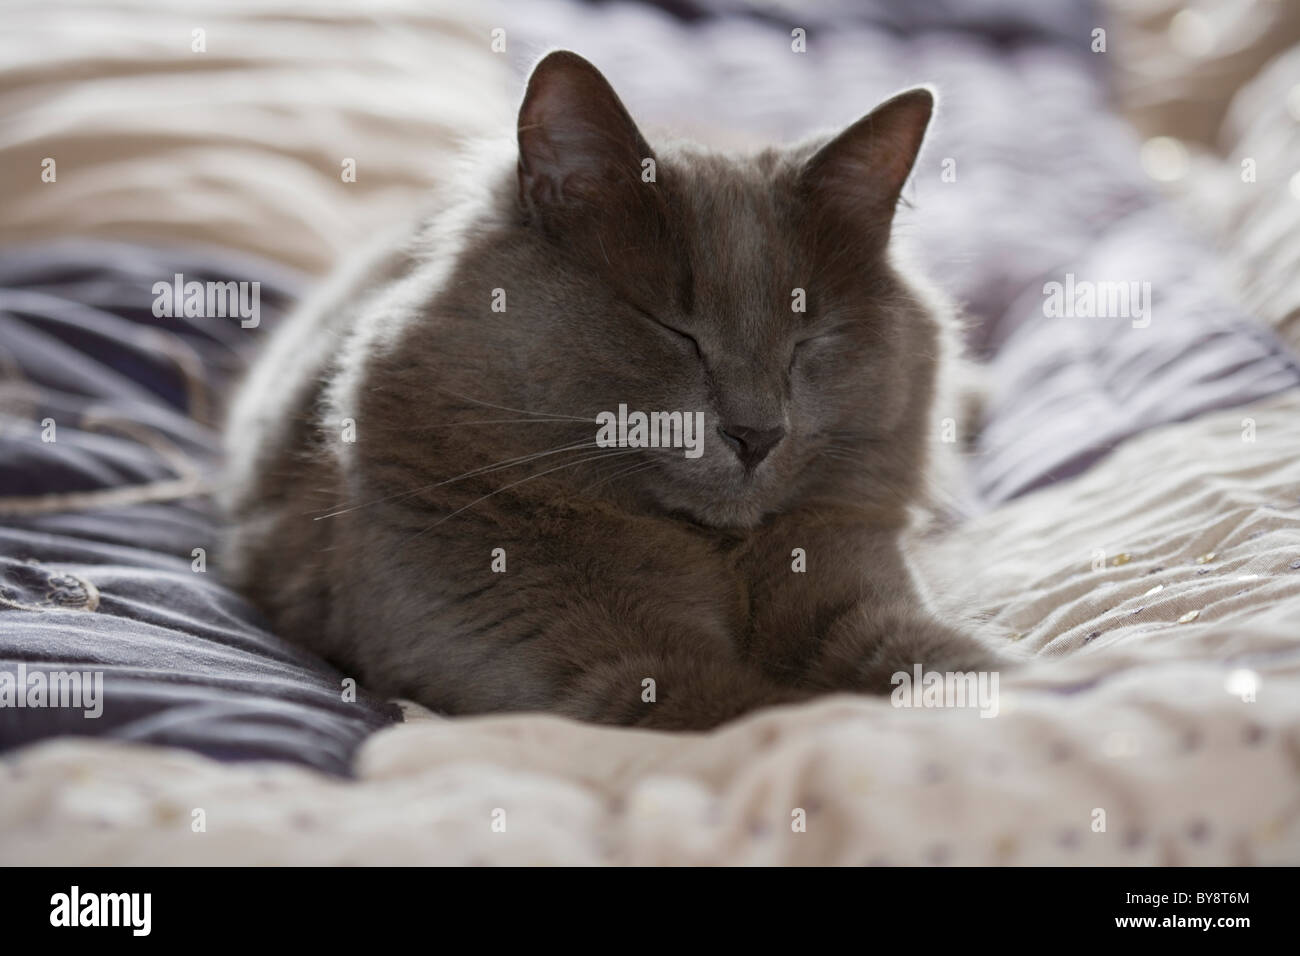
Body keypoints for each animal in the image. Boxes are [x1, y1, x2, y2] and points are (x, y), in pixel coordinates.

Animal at [218, 52, 998, 733]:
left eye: (811, 339)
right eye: (672, 329)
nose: (757, 434)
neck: (719, 550)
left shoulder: (855, 570)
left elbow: (939, 658)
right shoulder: (595, 664)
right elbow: (745, 713)